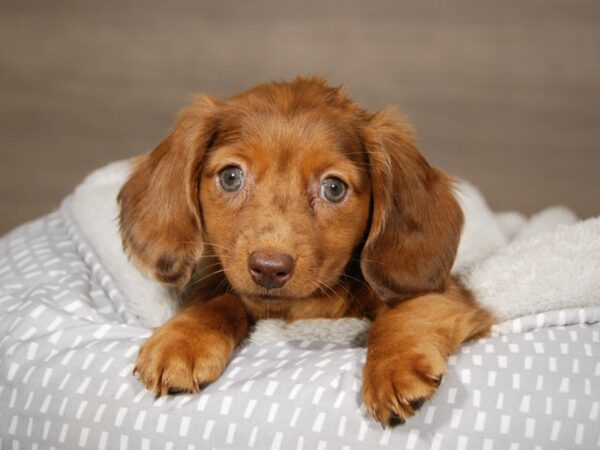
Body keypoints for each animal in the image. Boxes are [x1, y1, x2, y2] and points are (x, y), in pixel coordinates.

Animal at [117, 77, 492, 426]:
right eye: (231, 177)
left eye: (334, 188)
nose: (269, 268)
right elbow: (218, 302)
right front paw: (182, 340)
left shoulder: (446, 294)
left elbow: (407, 312)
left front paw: (394, 367)